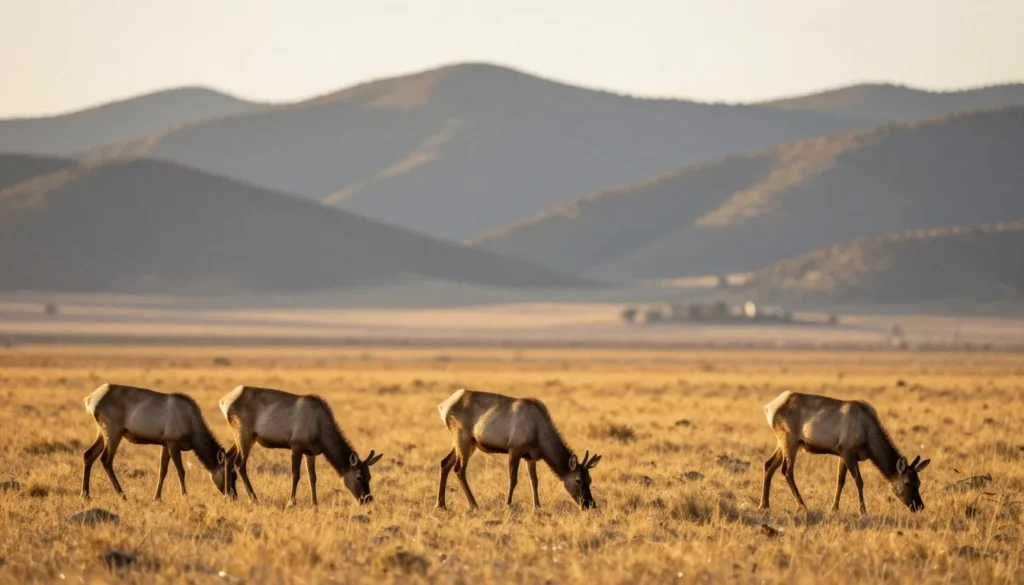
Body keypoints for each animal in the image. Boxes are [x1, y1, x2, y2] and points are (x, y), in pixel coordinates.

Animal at [81, 383, 237, 500]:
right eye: (231, 475)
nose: (233, 496)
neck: (192, 428)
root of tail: (90, 400)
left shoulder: (165, 443)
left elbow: (163, 471)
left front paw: (157, 497)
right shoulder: (173, 442)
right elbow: (181, 471)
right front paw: (185, 496)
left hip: (102, 432)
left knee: (88, 455)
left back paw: (85, 494)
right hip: (113, 431)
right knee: (106, 459)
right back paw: (122, 495)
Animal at [219, 386, 383, 506]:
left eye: (369, 476)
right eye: (358, 477)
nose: (367, 499)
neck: (320, 430)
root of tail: (223, 402)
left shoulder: (311, 452)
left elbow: (313, 477)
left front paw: (315, 504)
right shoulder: (296, 445)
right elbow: (295, 475)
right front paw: (291, 503)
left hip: (245, 437)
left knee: (228, 456)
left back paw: (228, 497)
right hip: (244, 433)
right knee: (240, 463)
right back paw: (253, 499)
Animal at [435, 388, 601, 511]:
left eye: (590, 479)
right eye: (578, 480)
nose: (589, 504)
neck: (538, 434)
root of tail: (443, 407)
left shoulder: (531, 456)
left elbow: (534, 481)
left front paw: (537, 507)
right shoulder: (514, 449)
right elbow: (513, 479)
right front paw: (507, 505)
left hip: (468, 443)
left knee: (445, 463)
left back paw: (441, 505)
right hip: (462, 437)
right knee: (459, 470)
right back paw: (473, 504)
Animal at [759, 390, 931, 515]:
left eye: (919, 482)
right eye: (907, 483)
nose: (919, 506)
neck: (869, 438)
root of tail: (769, 408)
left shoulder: (842, 452)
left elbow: (840, 480)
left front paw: (834, 508)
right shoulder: (848, 451)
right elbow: (858, 481)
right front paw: (863, 510)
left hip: (782, 442)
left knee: (769, 465)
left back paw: (764, 505)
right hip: (789, 439)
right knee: (787, 471)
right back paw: (802, 505)